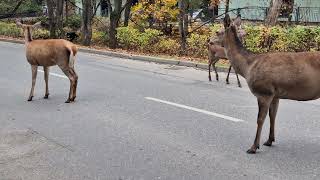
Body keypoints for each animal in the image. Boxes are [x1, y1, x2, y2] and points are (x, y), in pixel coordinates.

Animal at [219, 14, 320, 154]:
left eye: (218, 32)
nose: (209, 41)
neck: (248, 67)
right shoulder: (275, 94)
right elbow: (273, 116)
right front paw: (269, 140)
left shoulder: (264, 92)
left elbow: (260, 119)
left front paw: (253, 147)